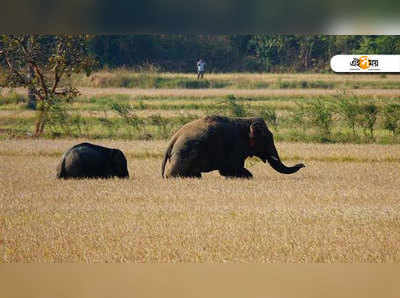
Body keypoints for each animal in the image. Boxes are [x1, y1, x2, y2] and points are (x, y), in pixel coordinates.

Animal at [161, 115, 304, 178]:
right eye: (267, 138)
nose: (303, 164)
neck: (246, 120)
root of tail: (173, 138)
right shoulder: (236, 146)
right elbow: (231, 169)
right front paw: (247, 176)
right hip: (184, 153)